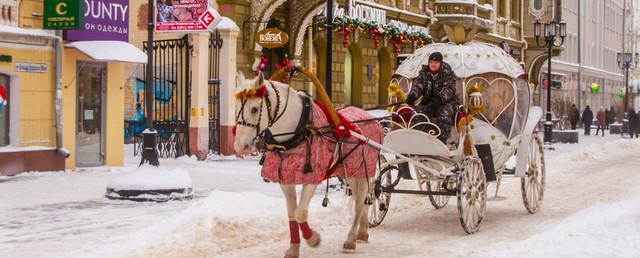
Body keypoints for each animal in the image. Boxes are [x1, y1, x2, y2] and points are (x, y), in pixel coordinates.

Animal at [235, 71, 384, 256]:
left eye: (254, 109)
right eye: (235, 108)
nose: (239, 147)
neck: (300, 130)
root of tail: (372, 118)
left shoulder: (313, 177)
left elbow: (300, 212)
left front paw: (313, 239)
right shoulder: (285, 178)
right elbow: (292, 214)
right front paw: (293, 248)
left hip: (363, 169)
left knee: (360, 202)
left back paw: (351, 239)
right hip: (348, 171)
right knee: (359, 199)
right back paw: (362, 232)